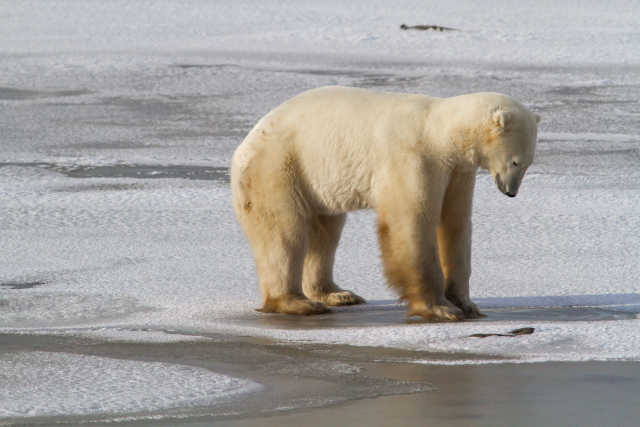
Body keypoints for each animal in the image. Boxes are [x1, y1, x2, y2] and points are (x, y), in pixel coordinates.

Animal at [231, 86, 540, 321]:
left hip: (317, 182)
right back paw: (298, 302)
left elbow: (455, 225)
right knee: (284, 234)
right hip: (279, 167)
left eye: (528, 163)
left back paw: (337, 294)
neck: (439, 130)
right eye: (516, 161)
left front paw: (466, 303)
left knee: (325, 233)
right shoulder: (413, 157)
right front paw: (440, 308)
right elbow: (412, 223)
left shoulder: (458, 172)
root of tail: (245, 143)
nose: (511, 192)